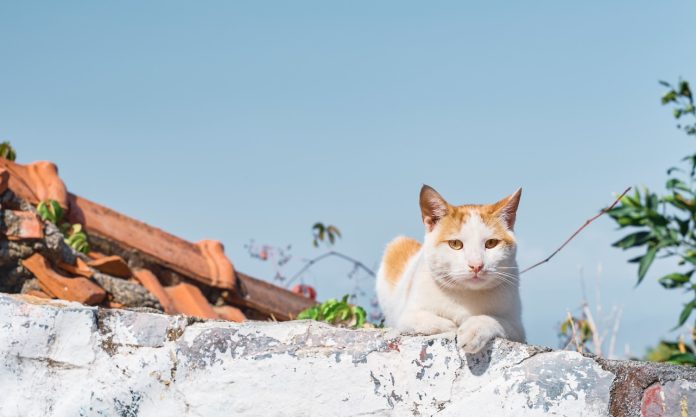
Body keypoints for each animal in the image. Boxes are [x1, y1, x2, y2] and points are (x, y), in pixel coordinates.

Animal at [378, 185, 524, 352]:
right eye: (455, 244)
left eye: (491, 243)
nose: (476, 265)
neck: (466, 294)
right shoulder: (406, 317)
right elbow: (426, 321)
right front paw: (450, 326)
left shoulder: (518, 329)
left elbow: (493, 320)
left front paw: (473, 330)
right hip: (396, 245)